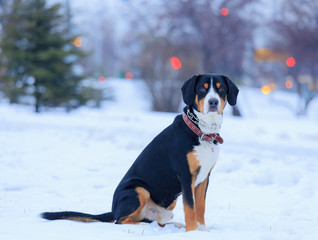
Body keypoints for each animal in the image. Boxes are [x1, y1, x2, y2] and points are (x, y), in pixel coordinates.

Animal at [43, 72, 240, 231]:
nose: (213, 102)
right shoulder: (185, 176)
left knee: (158, 222)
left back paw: (174, 225)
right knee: (120, 221)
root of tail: (113, 208)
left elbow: (200, 207)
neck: (201, 132)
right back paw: (145, 226)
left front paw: (201, 230)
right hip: (139, 190)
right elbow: (190, 207)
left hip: (170, 200)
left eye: (221, 89)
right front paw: (192, 232)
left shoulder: (204, 178)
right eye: (201, 89)